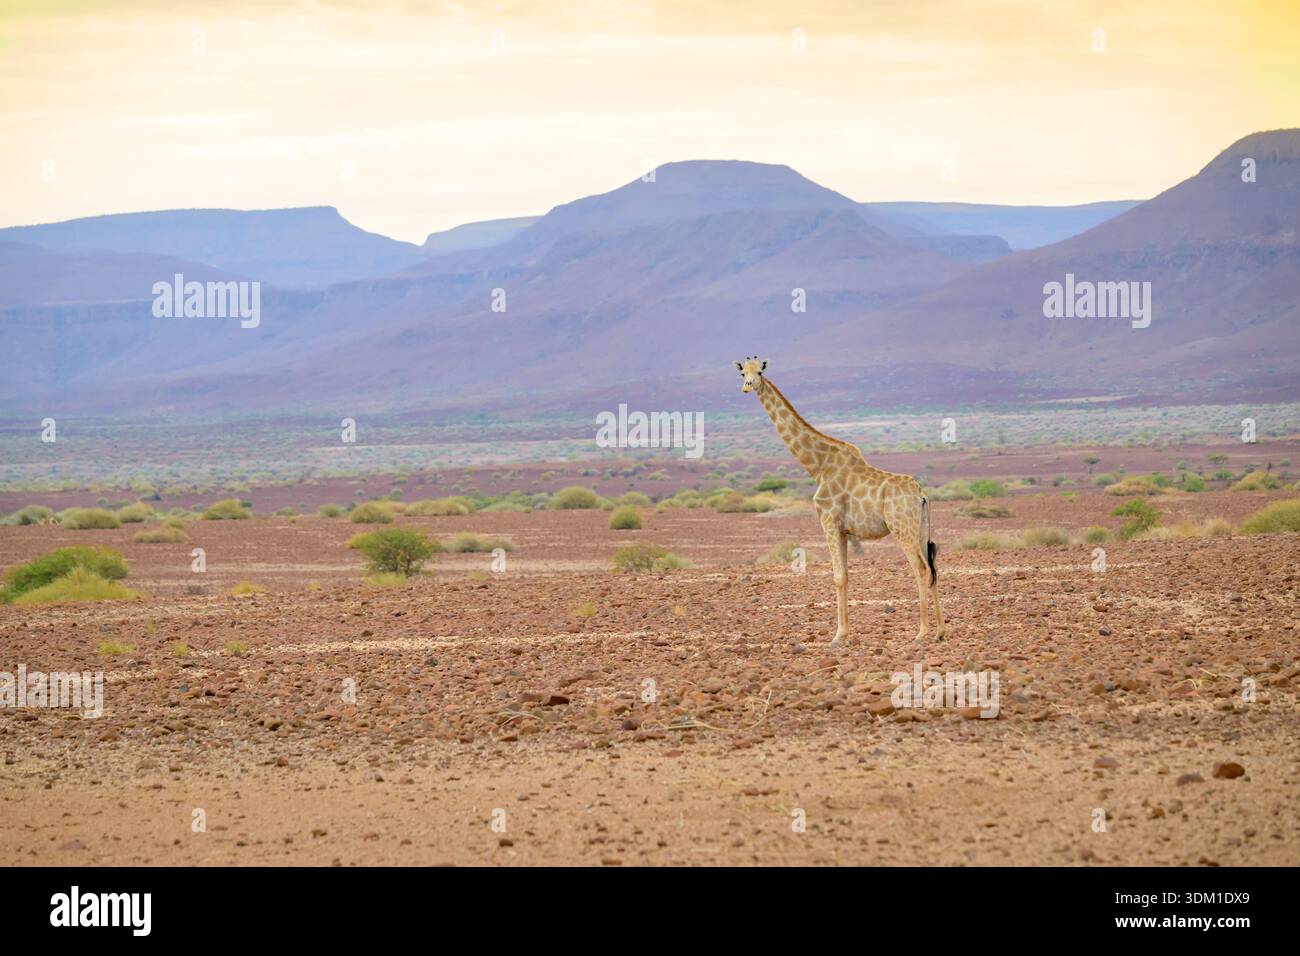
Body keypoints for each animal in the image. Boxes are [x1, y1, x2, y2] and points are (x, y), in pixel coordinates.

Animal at [735, 357, 945, 648]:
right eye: (743, 372)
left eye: (760, 371)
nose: (747, 386)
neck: (818, 466)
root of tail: (921, 494)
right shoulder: (844, 530)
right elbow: (845, 576)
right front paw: (844, 634)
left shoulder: (829, 521)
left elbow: (837, 577)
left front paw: (837, 636)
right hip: (921, 528)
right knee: (934, 567)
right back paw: (940, 632)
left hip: (902, 528)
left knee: (921, 569)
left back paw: (921, 633)